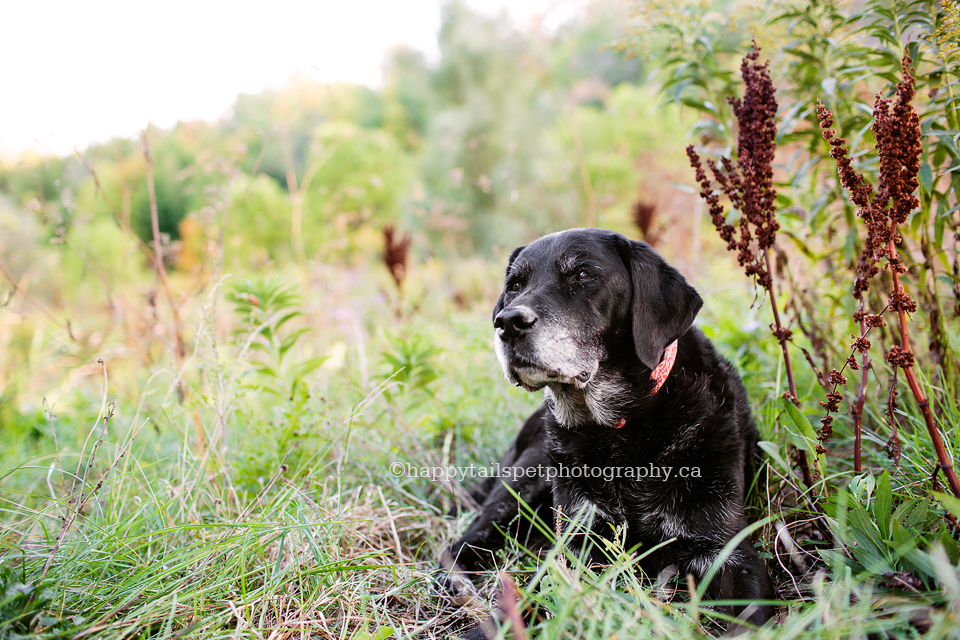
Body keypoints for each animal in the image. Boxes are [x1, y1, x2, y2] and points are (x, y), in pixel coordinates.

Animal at [448, 228, 772, 632]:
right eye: (515, 285)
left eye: (583, 275)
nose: (507, 322)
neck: (622, 430)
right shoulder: (575, 543)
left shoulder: (727, 551)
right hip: (525, 483)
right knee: (460, 546)